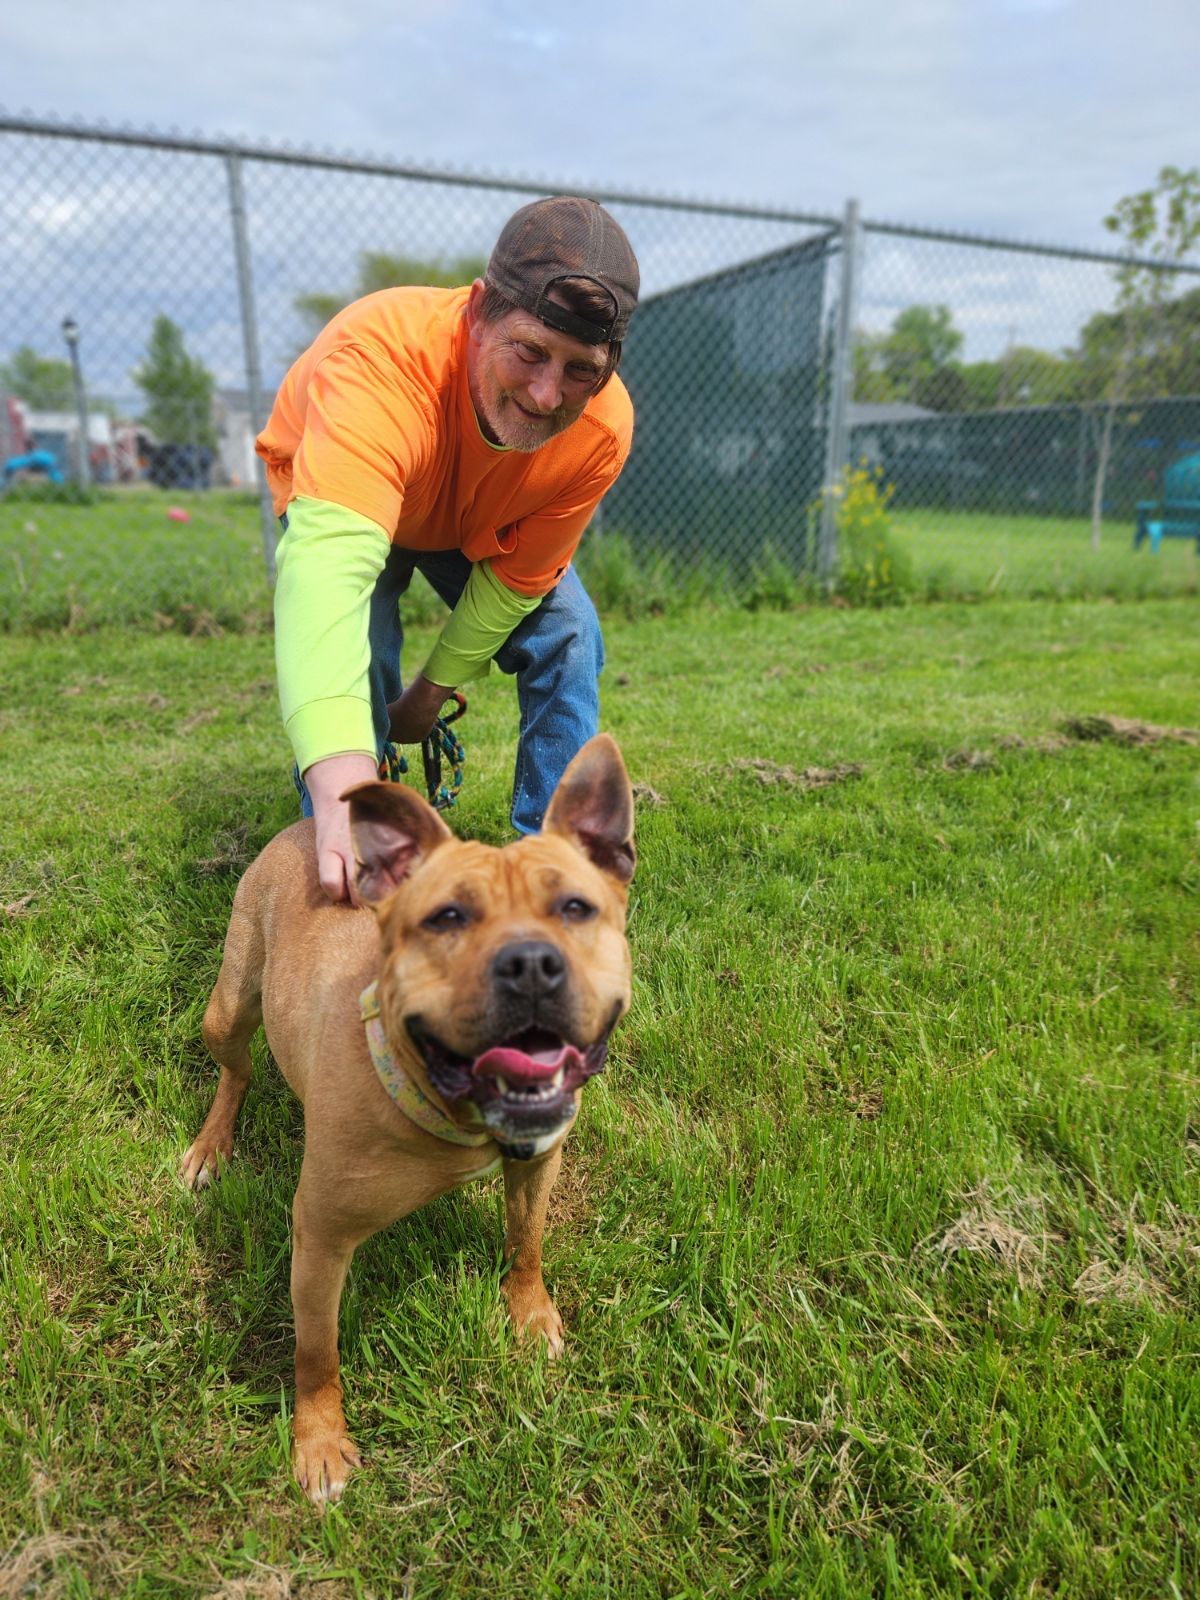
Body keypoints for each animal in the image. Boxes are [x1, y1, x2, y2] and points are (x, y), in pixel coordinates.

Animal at [183, 732, 633, 1504]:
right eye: (446, 917)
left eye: (577, 908)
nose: (531, 963)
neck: (452, 1112)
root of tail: (305, 828)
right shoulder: (320, 1239)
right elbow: (316, 1352)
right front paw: (320, 1441)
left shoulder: (539, 1162)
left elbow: (528, 1241)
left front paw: (529, 1312)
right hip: (230, 1007)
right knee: (235, 1070)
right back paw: (212, 1147)